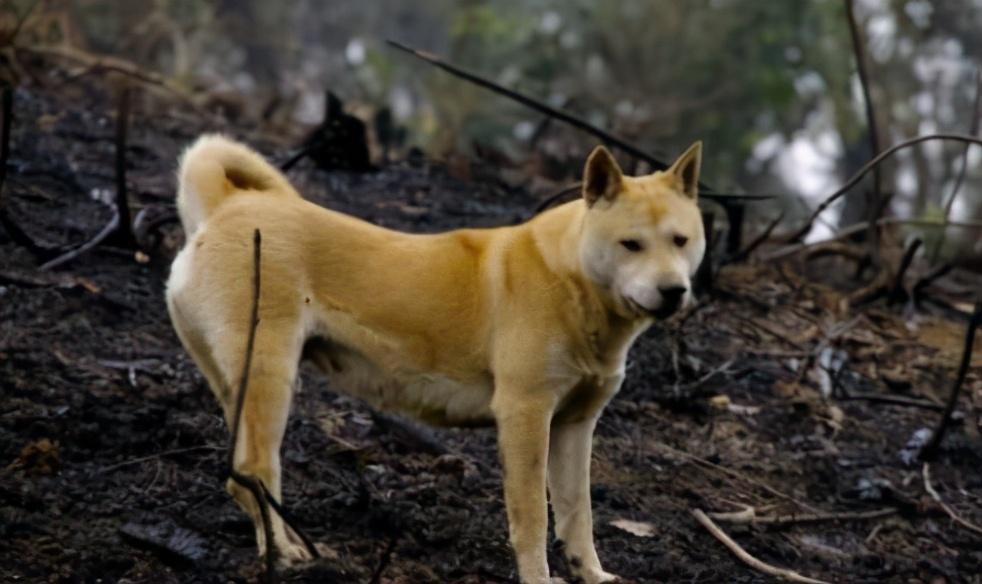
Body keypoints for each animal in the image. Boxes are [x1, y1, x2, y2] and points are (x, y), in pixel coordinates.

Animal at [167, 133, 708, 584]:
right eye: (631, 244)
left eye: (680, 240)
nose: (674, 291)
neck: (571, 278)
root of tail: (227, 205)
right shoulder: (526, 415)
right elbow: (533, 515)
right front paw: (538, 578)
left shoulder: (576, 425)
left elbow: (579, 512)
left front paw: (590, 574)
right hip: (270, 378)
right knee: (256, 472)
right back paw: (283, 557)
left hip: (237, 385)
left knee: (239, 478)